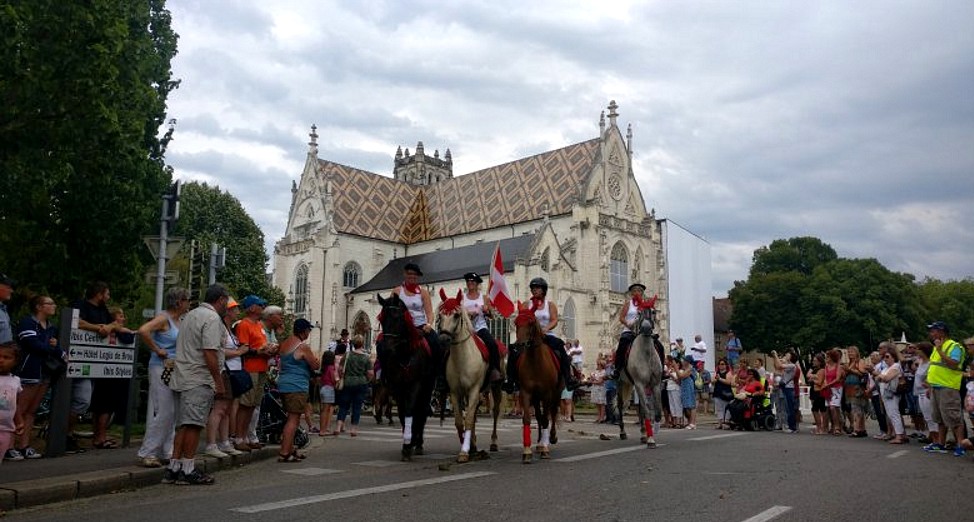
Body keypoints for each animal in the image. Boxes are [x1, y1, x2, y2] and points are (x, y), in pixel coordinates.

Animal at [378, 292, 434, 460]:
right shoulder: (397, 386)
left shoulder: (416, 384)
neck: (404, 354)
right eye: (381, 319)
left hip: (427, 388)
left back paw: (418, 443)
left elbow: (410, 410)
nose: (387, 349)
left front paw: (409, 443)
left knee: (422, 411)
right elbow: (403, 412)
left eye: (397, 317)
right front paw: (406, 442)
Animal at [516, 302, 560, 462]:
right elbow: (528, 419)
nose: (520, 345)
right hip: (536, 397)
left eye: (530, 322)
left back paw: (550, 439)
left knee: (552, 413)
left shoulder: (547, 393)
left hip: (556, 392)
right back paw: (540, 443)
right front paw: (527, 451)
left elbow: (547, 419)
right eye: (515, 322)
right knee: (540, 417)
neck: (535, 362)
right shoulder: (525, 392)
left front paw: (545, 449)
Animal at [620, 302, 668, 444]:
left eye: (653, 311)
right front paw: (651, 439)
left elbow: (657, 411)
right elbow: (647, 411)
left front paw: (653, 431)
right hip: (620, 383)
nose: (646, 328)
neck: (646, 354)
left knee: (640, 407)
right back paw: (622, 432)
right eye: (639, 312)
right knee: (620, 406)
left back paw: (642, 434)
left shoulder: (655, 384)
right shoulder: (640, 384)